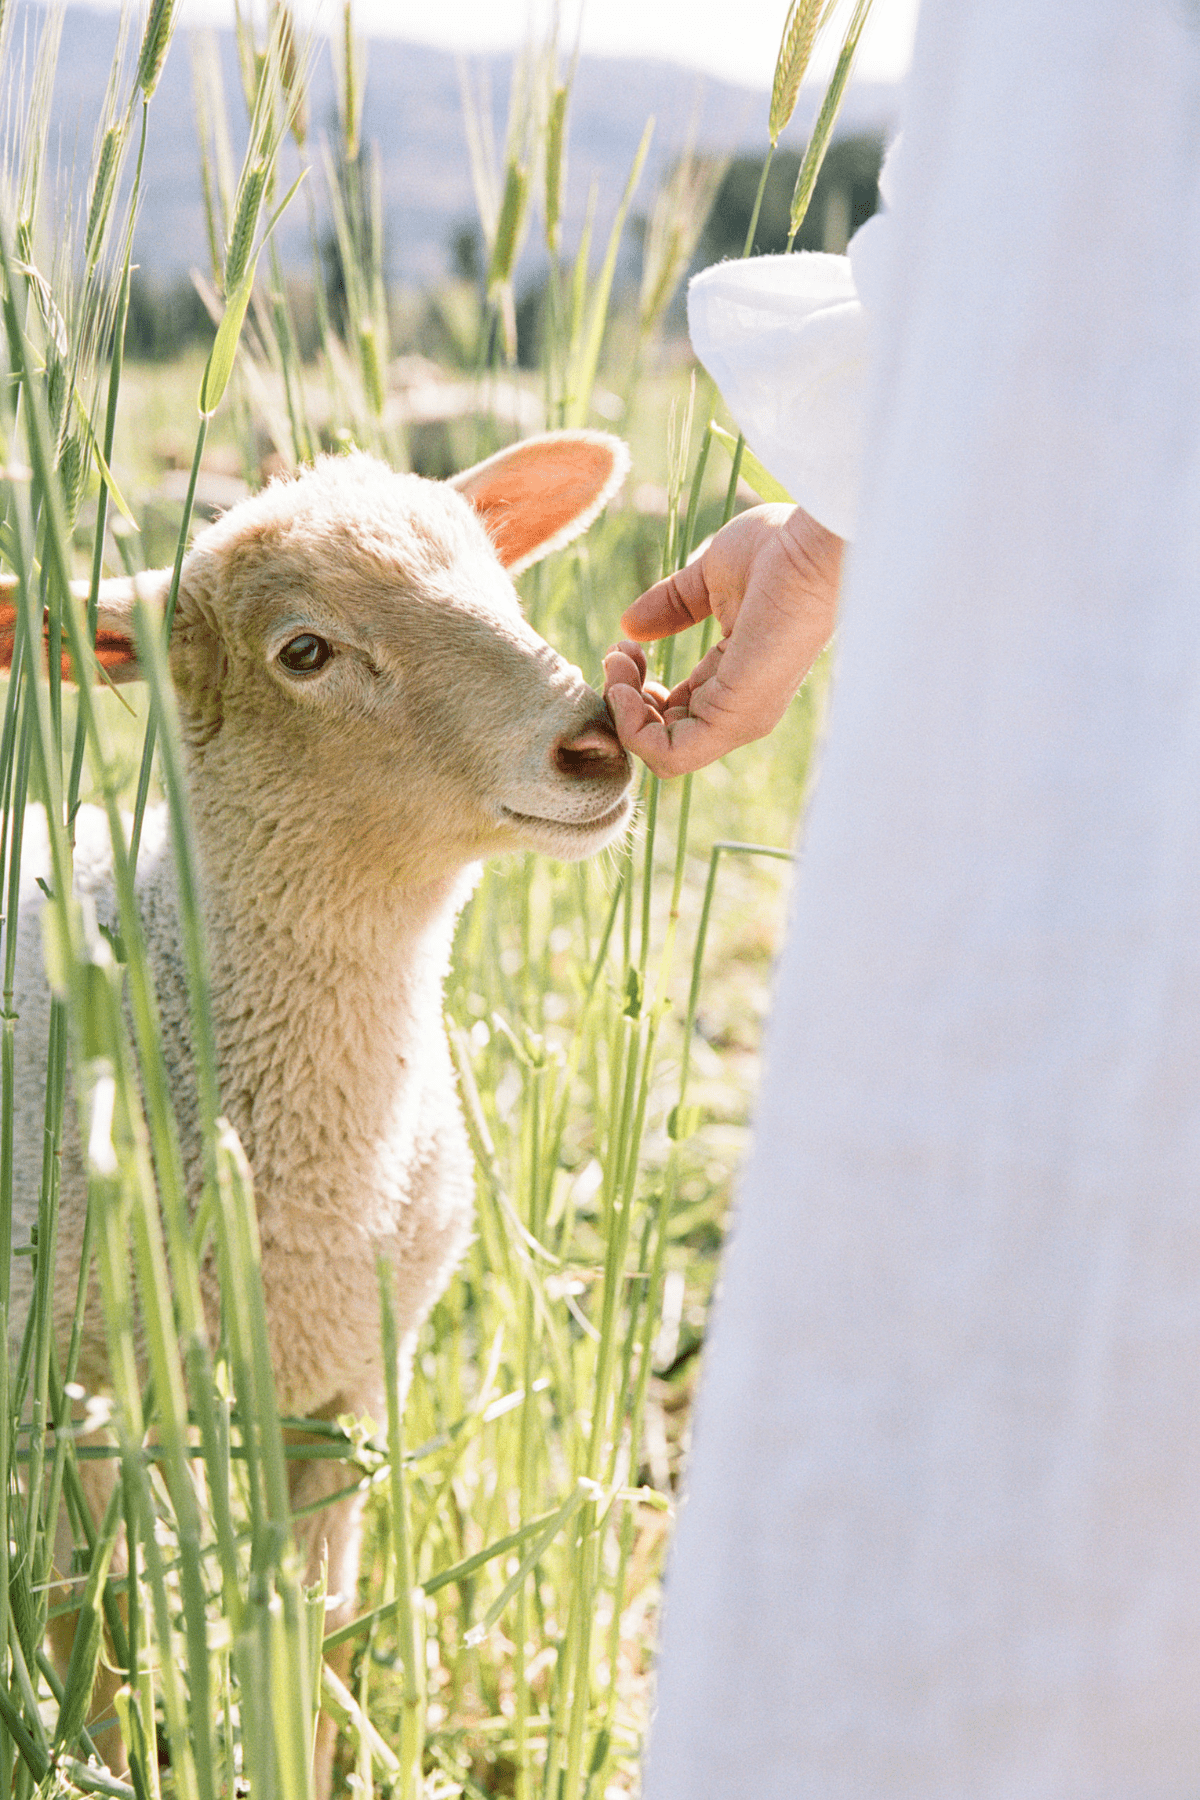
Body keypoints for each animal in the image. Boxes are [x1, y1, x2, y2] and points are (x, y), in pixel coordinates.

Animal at [7, 428, 636, 1792]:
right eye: (304, 652)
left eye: (497, 576)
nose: (597, 742)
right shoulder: (79, 1400)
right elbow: (96, 1644)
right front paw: (103, 1756)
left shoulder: (345, 1388)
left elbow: (322, 1636)